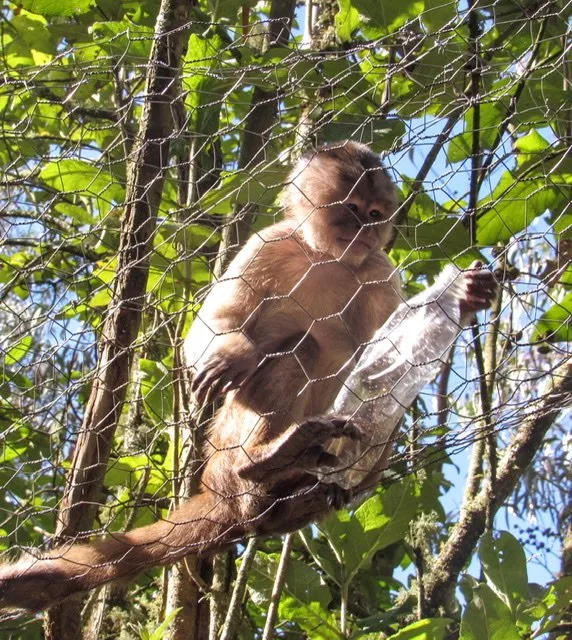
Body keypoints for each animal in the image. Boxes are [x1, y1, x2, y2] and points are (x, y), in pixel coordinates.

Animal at [0, 141, 497, 612]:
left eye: (375, 215)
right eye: (352, 208)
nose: (364, 230)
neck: (328, 257)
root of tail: (222, 496)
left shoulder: (379, 270)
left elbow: (389, 356)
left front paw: (464, 300)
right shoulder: (269, 242)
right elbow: (212, 327)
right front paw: (232, 353)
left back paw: (305, 486)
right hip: (222, 449)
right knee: (299, 349)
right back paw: (265, 461)